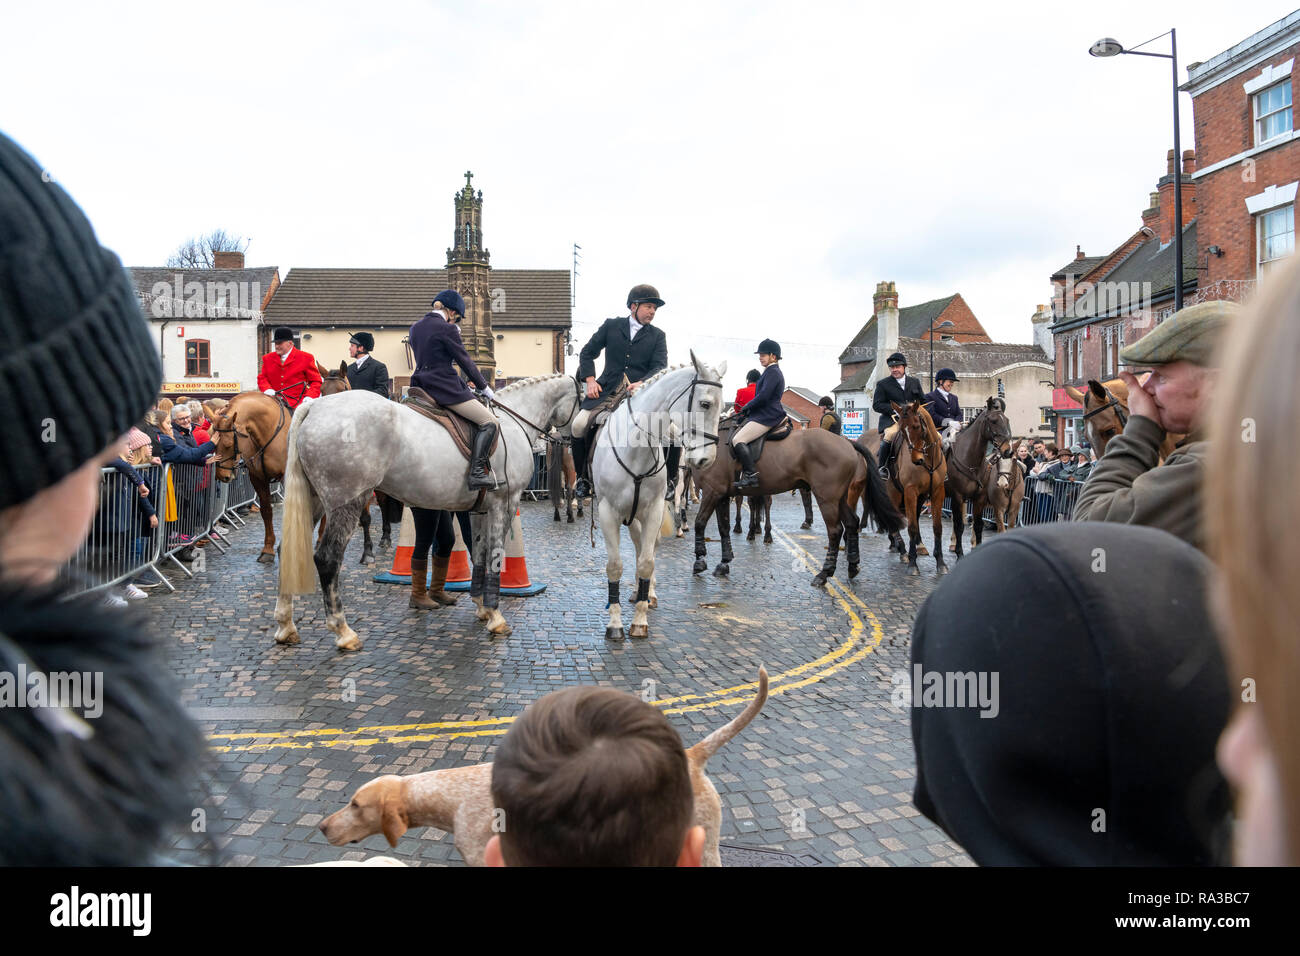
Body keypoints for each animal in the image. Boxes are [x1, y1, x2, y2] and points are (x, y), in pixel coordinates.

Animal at [274, 374, 579, 650]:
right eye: (583, 399)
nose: (572, 445)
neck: (513, 423)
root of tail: (315, 406)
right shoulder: (505, 502)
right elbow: (494, 556)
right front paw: (495, 617)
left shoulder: (480, 510)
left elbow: (480, 554)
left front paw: (481, 607)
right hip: (347, 502)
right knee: (327, 559)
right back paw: (343, 631)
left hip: (314, 500)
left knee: (289, 551)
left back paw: (286, 626)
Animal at [691, 421, 904, 587]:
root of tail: (847, 442)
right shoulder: (721, 495)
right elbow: (723, 528)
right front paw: (723, 563)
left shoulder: (711, 492)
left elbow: (699, 523)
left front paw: (700, 561)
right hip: (840, 497)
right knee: (852, 523)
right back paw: (852, 566)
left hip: (827, 497)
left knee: (835, 531)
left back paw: (824, 574)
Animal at [946, 395, 1013, 561]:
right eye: (994, 421)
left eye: (1007, 420)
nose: (1008, 451)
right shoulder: (957, 496)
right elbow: (959, 525)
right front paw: (959, 553)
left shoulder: (979, 498)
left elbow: (978, 525)